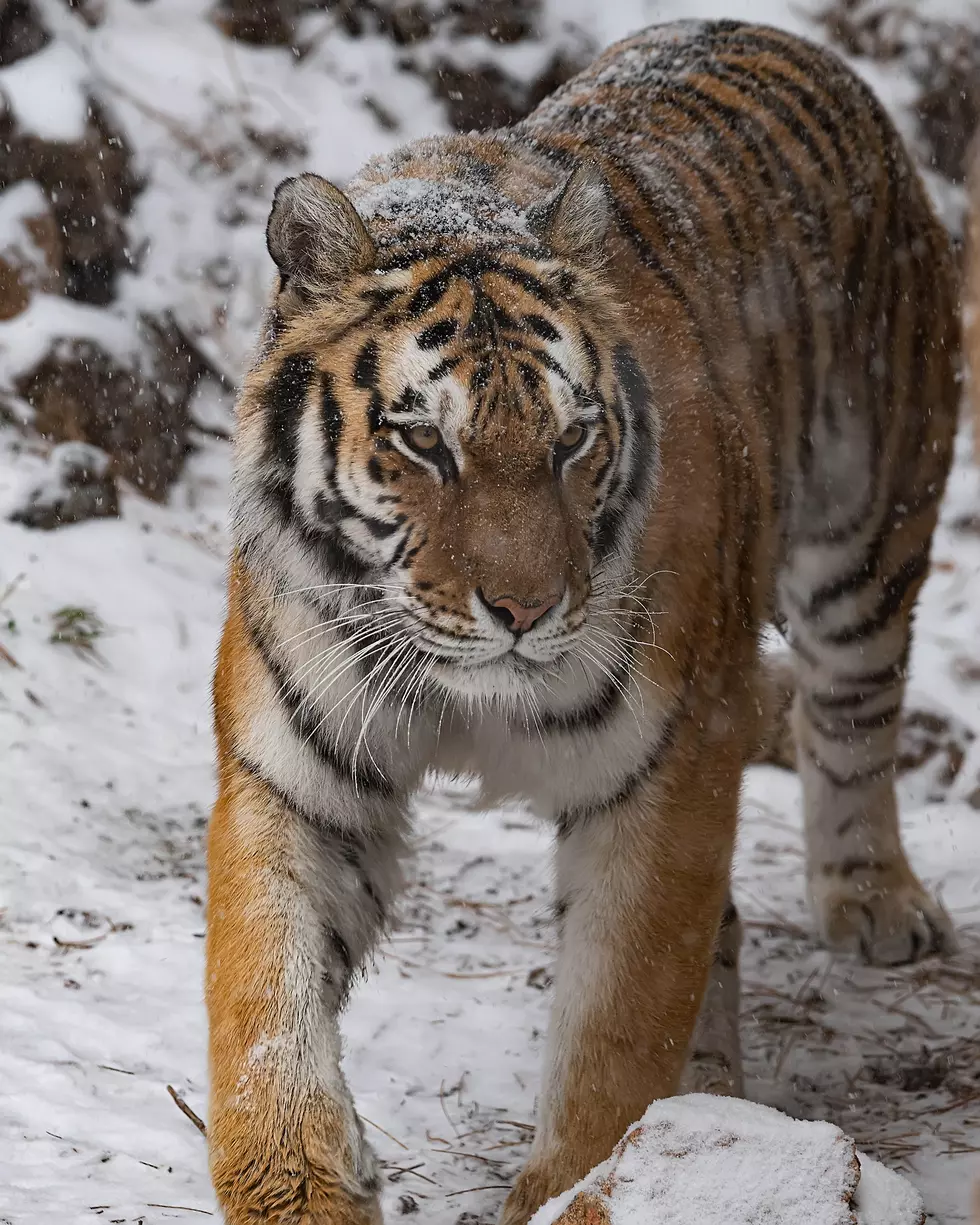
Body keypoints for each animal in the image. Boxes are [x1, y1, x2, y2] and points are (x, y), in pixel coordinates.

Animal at [207, 19, 955, 1225]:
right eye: (423, 441)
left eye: (570, 440)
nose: (524, 608)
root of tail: (779, 34)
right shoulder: (295, 774)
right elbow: (263, 1005)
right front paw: (304, 1191)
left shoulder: (666, 765)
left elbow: (619, 1011)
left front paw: (577, 1184)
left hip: (871, 522)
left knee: (852, 715)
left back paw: (872, 900)